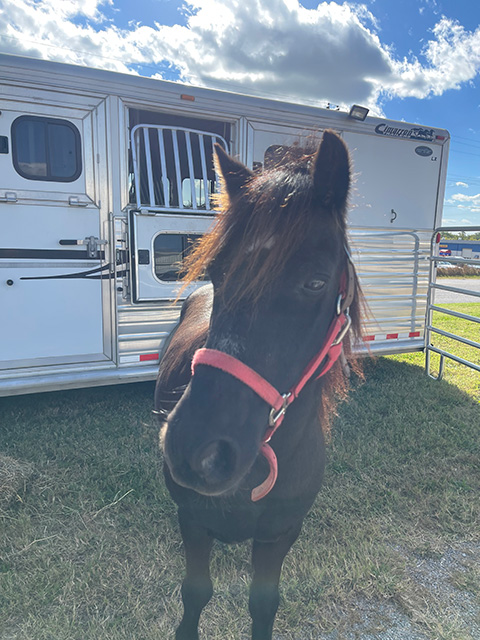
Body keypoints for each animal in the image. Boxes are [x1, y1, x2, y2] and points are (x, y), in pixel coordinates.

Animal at [156, 130, 362, 640]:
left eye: (316, 281)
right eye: (216, 272)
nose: (197, 450)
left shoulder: (279, 536)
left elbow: (264, 602)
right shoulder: (192, 522)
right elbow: (196, 591)